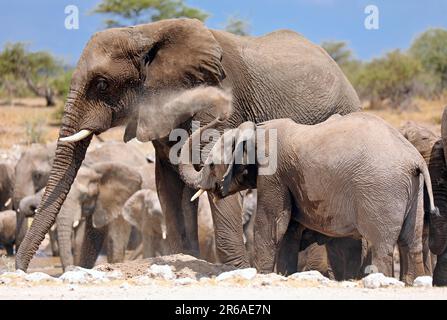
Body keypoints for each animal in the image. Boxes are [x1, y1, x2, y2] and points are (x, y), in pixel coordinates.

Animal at [15, 18, 362, 272]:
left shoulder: (221, 96)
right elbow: (168, 185)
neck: (147, 34)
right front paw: (187, 257)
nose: (19, 269)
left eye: (101, 84)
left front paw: (236, 269)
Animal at [184, 112, 440, 284]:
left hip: (381, 190)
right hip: (414, 190)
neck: (256, 130)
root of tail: (414, 159)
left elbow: (271, 225)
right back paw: (410, 282)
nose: (218, 117)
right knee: (411, 243)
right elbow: (289, 231)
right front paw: (283, 275)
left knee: (382, 246)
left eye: (212, 165)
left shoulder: (274, 174)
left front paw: (263, 275)